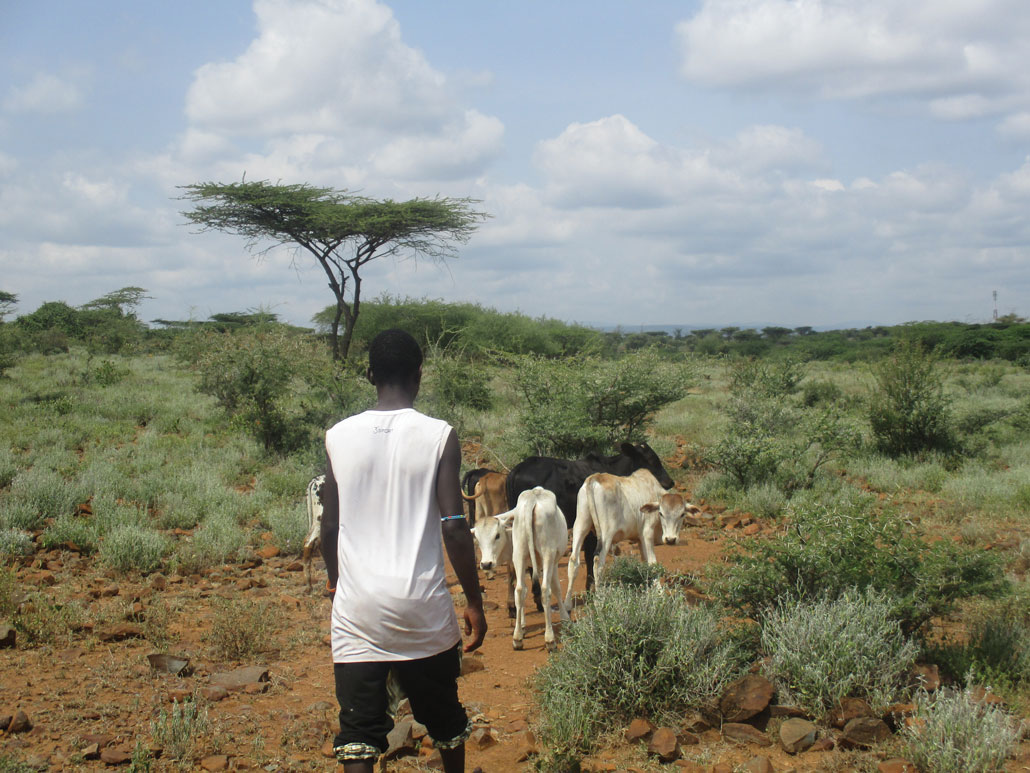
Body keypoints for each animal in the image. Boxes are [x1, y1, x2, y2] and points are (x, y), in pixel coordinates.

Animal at [504, 441, 675, 593]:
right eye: (651, 460)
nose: (670, 482)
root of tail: (515, 471)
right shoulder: (594, 531)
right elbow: (590, 556)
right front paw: (591, 589)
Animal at [564, 469, 700, 610]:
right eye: (661, 513)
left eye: (682, 514)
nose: (670, 539)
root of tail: (594, 478)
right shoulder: (647, 533)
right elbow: (653, 564)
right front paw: (660, 593)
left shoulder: (640, 539)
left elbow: (645, 563)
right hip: (606, 533)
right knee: (598, 562)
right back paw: (599, 601)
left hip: (581, 524)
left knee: (573, 561)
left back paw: (567, 604)